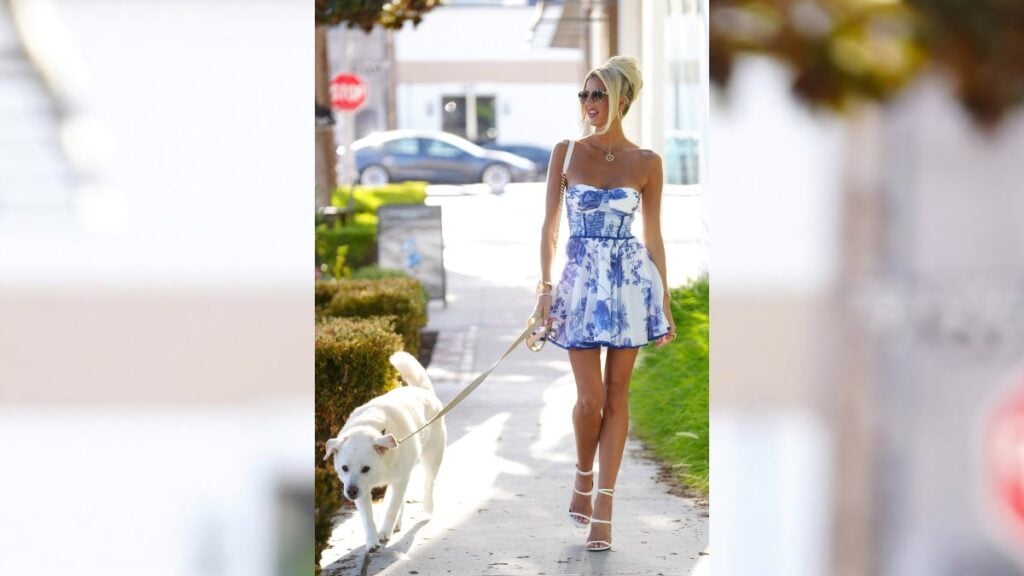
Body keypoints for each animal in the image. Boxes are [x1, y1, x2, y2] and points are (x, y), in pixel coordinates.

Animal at [323, 348, 444, 549]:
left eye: (366, 468)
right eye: (344, 468)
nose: (351, 492)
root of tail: (421, 389)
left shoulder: (399, 480)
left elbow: (391, 508)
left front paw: (385, 531)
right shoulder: (364, 490)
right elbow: (367, 518)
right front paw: (372, 540)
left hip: (432, 456)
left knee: (429, 481)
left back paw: (428, 505)